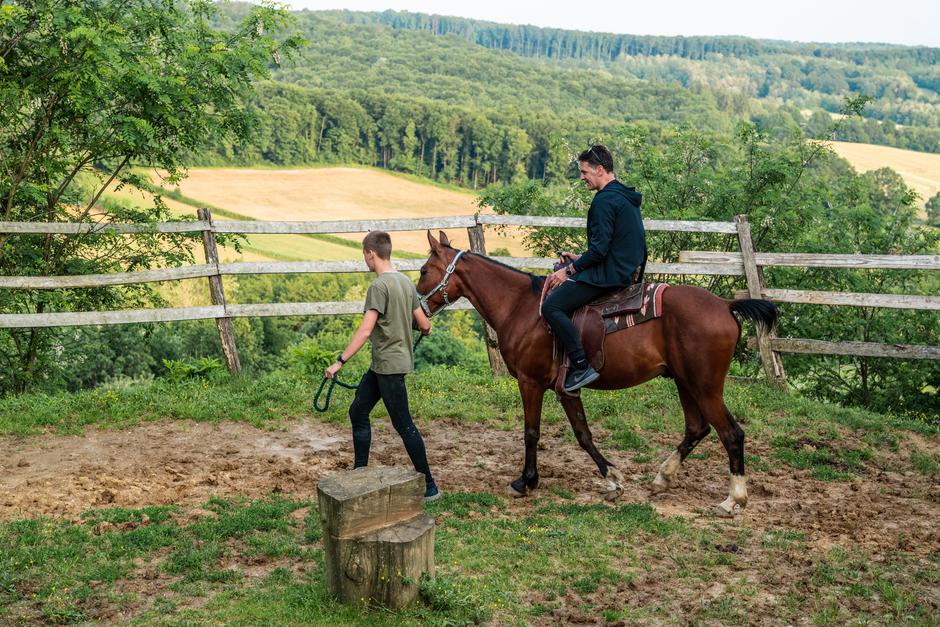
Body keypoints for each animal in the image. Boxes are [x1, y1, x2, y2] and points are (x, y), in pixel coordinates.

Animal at [416, 233, 780, 516]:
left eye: (423, 270)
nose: (417, 309)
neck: (521, 307)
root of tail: (725, 305)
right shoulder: (565, 389)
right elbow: (583, 434)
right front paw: (612, 478)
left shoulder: (530, 382)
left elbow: (532, 433)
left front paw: (525, 481)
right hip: (685, 382)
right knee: (697, 428)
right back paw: (663, 477)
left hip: (705, 386)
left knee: (731, 434)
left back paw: (733, 499)